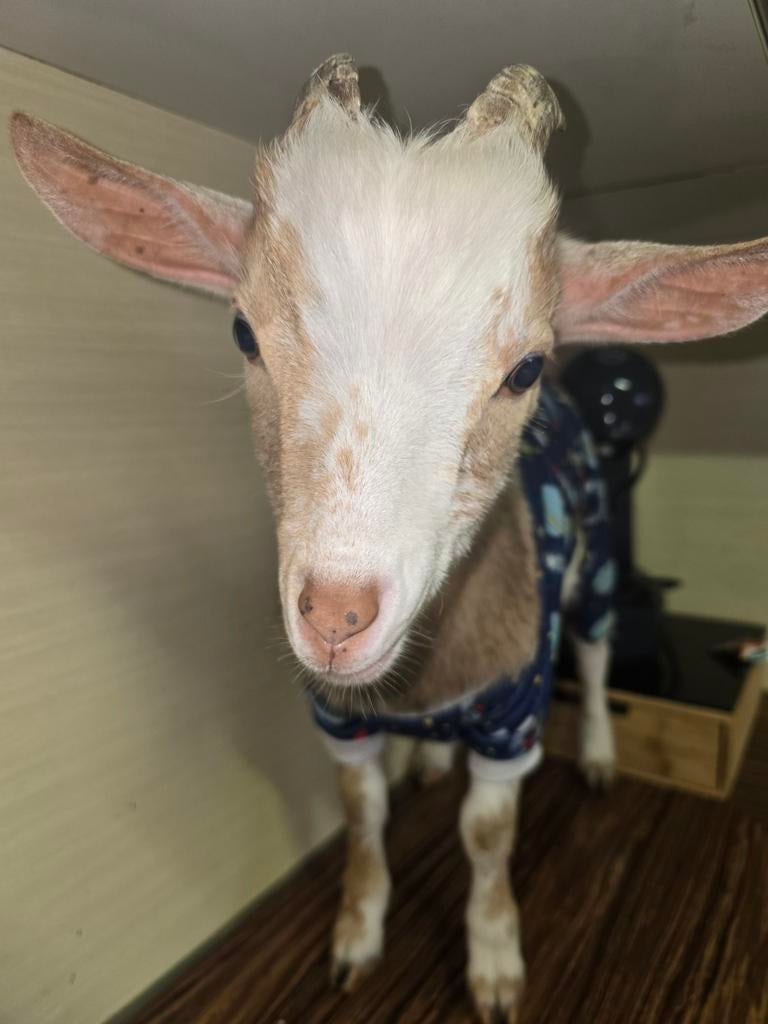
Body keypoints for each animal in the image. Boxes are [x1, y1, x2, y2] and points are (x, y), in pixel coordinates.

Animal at [12, 55, 768, 1024]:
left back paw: (599, 754)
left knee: (599, 654)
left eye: (525, 366)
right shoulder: (339, 715)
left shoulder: (515, 714)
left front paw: (494, 964)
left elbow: (487, 834)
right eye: (243, 331)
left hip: (596, 559)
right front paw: (357, 936)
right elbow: (361, 816)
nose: (336, 617)